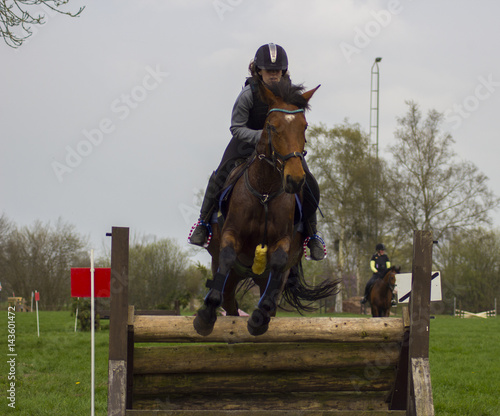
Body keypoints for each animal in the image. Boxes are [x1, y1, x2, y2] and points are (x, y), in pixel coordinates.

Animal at [193, 79, 338, 336]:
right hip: (228, 270)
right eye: (271, 126)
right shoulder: (231, 233)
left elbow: (278, 261)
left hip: (263, 278)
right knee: (229, 299)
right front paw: (205, 316)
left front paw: (259, 317)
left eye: (304, 126)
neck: (265, 192)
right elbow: (228, 255)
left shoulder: (283, 240)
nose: (295, 180)